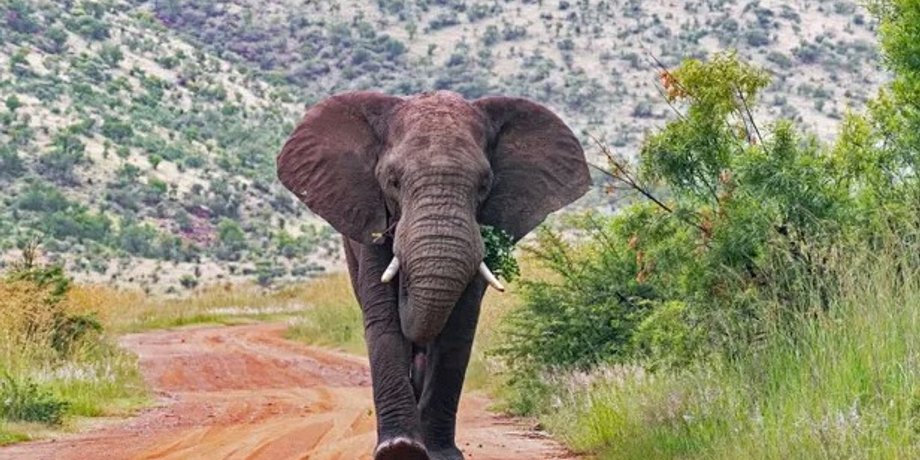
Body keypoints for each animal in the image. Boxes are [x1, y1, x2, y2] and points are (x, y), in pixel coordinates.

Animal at [276, 90, 590, 460]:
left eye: (484, 185)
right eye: (393, 181)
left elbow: (457, 326)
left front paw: (439, 454)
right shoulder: (370, 219)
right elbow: (384, 318)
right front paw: (399, 450)